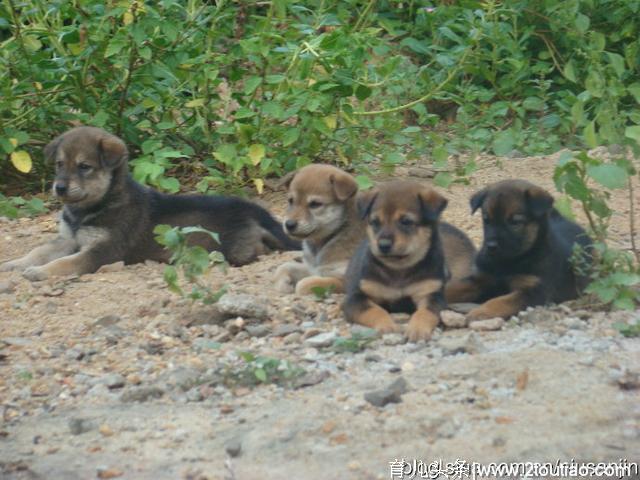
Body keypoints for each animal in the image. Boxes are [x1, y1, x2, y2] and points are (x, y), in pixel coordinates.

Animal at [0, 126, 300, 282]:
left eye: (84, 167)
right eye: (60, 165)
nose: (59, 188)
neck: (89, 209)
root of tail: (257, 211)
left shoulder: (103, 251)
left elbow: (65, 263)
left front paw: (39, 272)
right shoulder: (67, 239)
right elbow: (38, 251)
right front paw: (14, 264)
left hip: (229, 248)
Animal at [274, 165, 364, 296]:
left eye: (315, 204)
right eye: (290, 201)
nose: (289, 224)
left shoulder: (347, 279)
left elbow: (304, 284)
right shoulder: (312, 268)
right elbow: (284, 267)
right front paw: (283, 284)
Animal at [340, 180, 476, 342]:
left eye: (406, 221)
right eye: (375, 222)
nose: (383, 245)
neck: (399, 268)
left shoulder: (432, 296)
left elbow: (424, 313)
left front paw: (417, 329)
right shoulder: (356, 298)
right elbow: (374, 311)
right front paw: (387, 326)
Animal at [444, 178, 592, 320]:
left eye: (515, 222)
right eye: (486, 220)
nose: (491, 246)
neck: (507, 263)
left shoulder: (533, 292)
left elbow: (501, 301)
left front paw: (480, 312)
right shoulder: (479, 280)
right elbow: (451, 288)